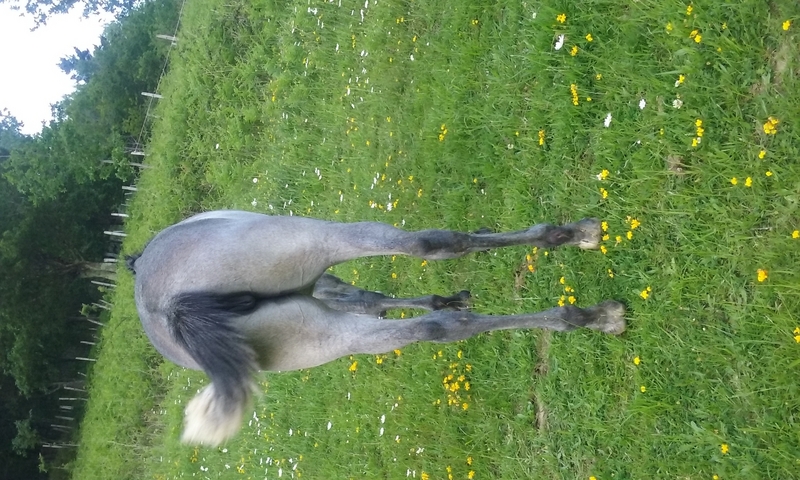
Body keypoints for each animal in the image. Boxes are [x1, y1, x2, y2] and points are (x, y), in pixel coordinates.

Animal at [126, 210, 625, 446]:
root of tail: (168, 306)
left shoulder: (322, 294)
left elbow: (369, 299)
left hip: (320, 333)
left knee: (423, 290)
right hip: (320, 238)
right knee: (434, 262)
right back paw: (591, 306)